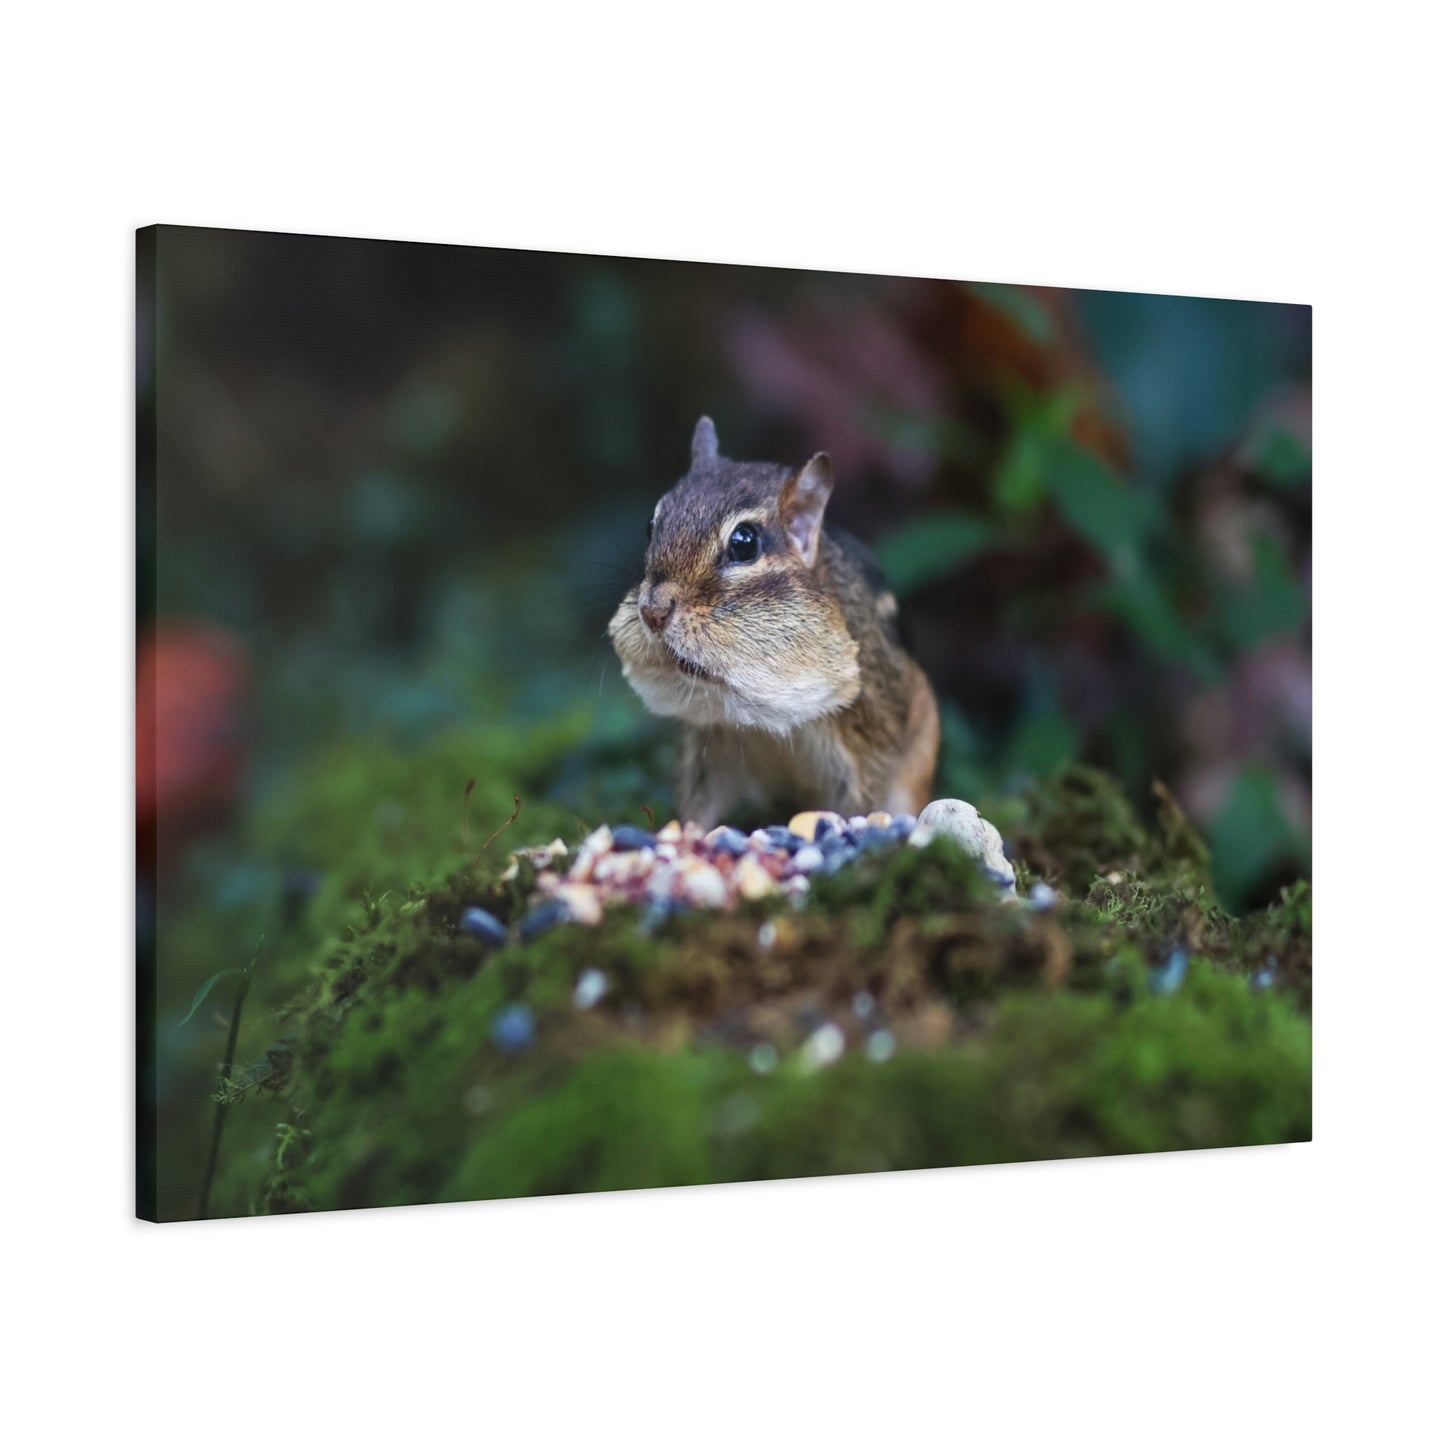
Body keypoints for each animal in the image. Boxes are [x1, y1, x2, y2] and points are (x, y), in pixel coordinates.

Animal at [608, 416, 940, 829]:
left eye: (744, 543)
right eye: (651, 525)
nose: (652, 611)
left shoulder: (869, 738)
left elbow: (863, 799)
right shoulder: (708, 745)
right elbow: (697, 804)